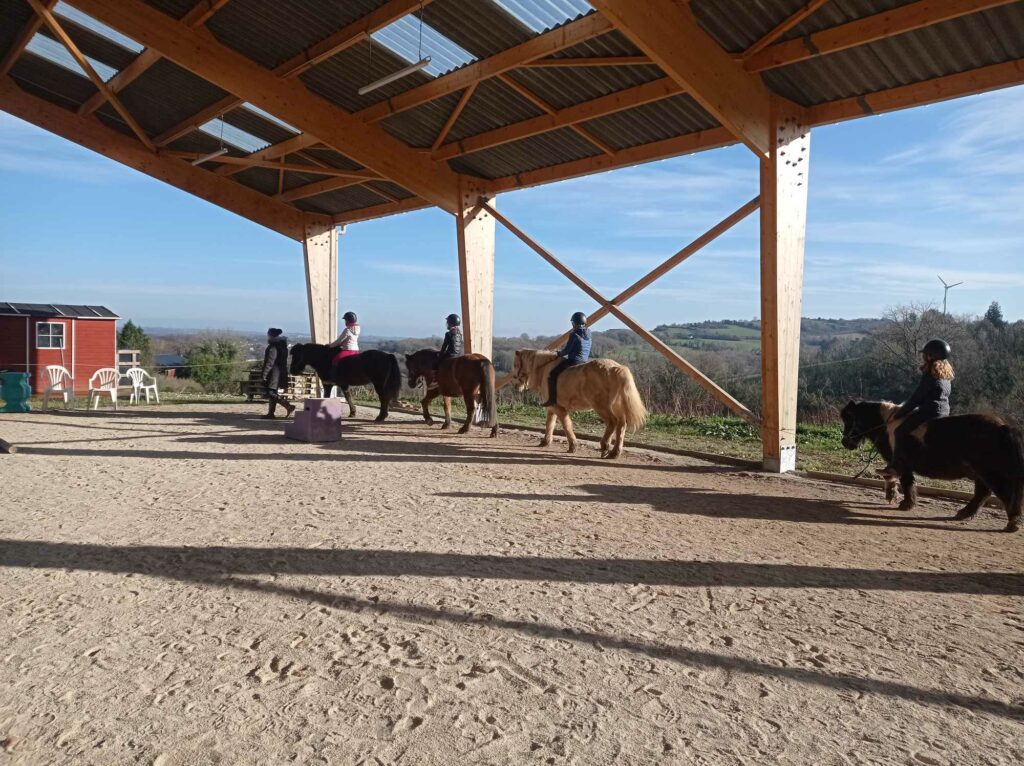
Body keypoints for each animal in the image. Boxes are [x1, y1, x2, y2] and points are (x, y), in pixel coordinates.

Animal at [512, 348, 647, 458]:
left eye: (516, 364)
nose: (516, 386)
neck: (545, 368)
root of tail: (615, 368)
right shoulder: (552, 407)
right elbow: (550, 423)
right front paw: (545, 442)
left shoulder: (558, 408)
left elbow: (566, 425)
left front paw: (573, 446)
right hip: (616, 407)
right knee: (621, 425)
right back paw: (614, 453)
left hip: (601, 406)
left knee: (612, 422)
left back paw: (605, 447)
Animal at [839, 401, 1024, 532]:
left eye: (850, 419)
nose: (845, 442)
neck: (888, 425)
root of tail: (1004, 428)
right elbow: (897, 478)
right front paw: (895, 497)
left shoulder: (900, 463)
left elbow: (902, 480)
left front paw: (904, 503)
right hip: (981, 473)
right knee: (982, 493)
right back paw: (963, 514)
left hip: (991, 473)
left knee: (1003, 494)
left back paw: (1012, 523)